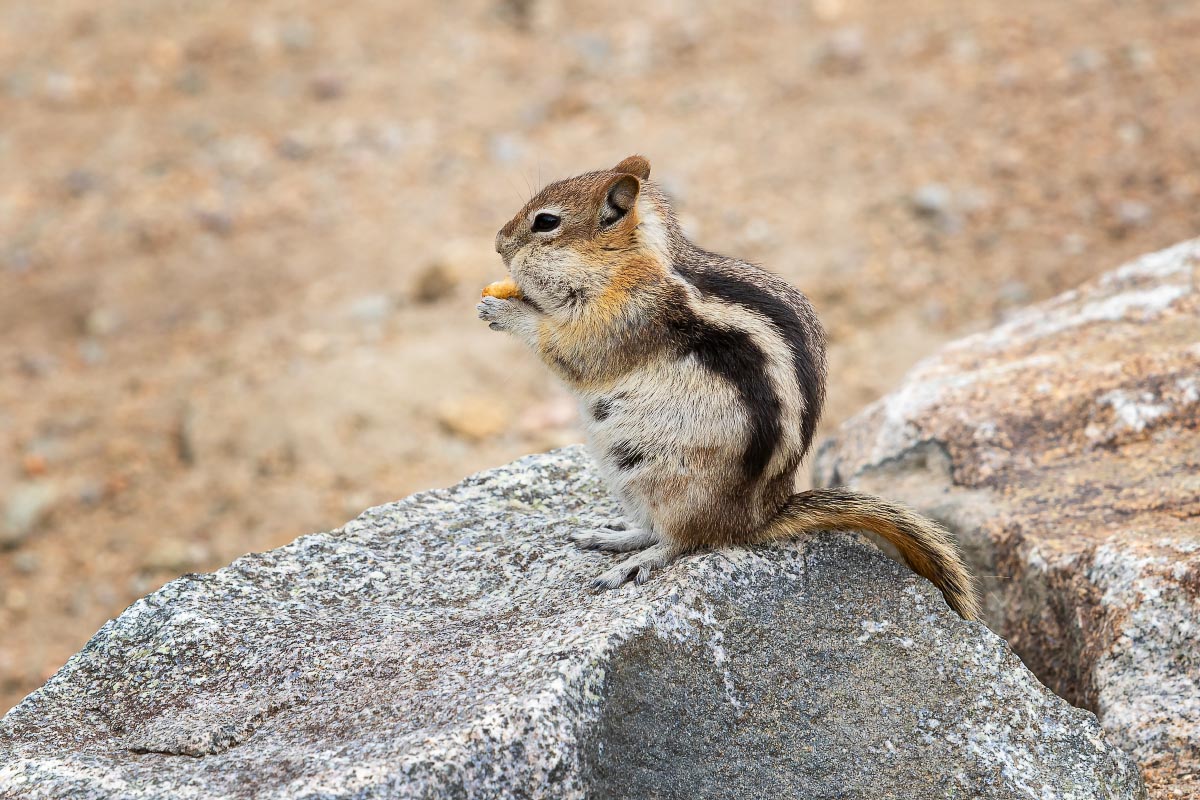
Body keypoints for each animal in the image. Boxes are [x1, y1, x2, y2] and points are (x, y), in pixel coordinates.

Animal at [482, 155, 979, 618]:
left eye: (545, 222)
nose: (498, 242)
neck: (633, 264)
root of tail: (756, 518)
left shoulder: (624, 321)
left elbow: (569, 352)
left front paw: (504, 310)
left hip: (670, 481)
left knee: (685, 540)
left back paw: (636, 562)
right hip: (626, 475)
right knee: (656, 527)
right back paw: (615, 534)